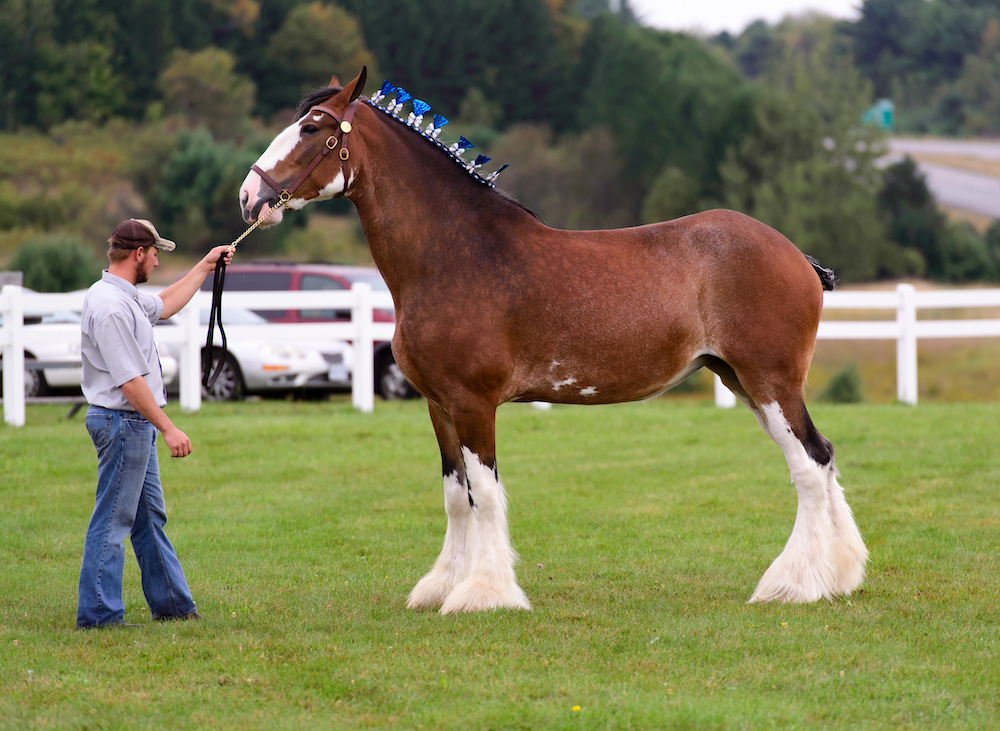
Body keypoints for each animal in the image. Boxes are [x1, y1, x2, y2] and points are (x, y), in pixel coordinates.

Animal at [236, 68, 868, 616]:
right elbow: (455, 495)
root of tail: (797, 255)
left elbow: (485, 494)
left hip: (770, 382)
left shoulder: (473, 403)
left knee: (808, 466)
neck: (451, 257)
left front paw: (484, 593)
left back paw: (794, 585)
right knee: (823, 455)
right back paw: (838, 575)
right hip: (742, 381)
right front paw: (441, 585)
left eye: (312, 128)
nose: (248, 197)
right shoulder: (438, 405)